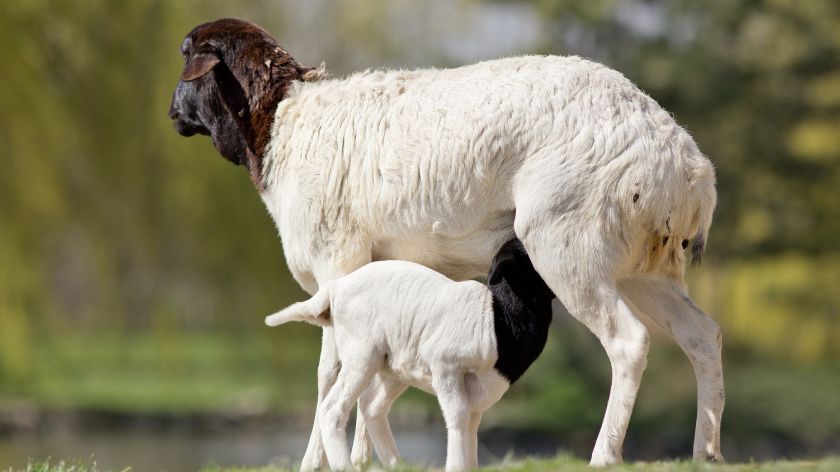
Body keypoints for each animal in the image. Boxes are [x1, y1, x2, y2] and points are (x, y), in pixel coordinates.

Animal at [266, 240, 556, 472]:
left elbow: (472, 428)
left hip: (394, 366)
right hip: (362, 355)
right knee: (332, 409)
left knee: (371, 407)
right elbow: (458, 416)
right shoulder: (445, 366)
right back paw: (345, 465)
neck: (498, 317)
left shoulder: (478, 392)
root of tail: (336, 288)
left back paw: (396, 465)